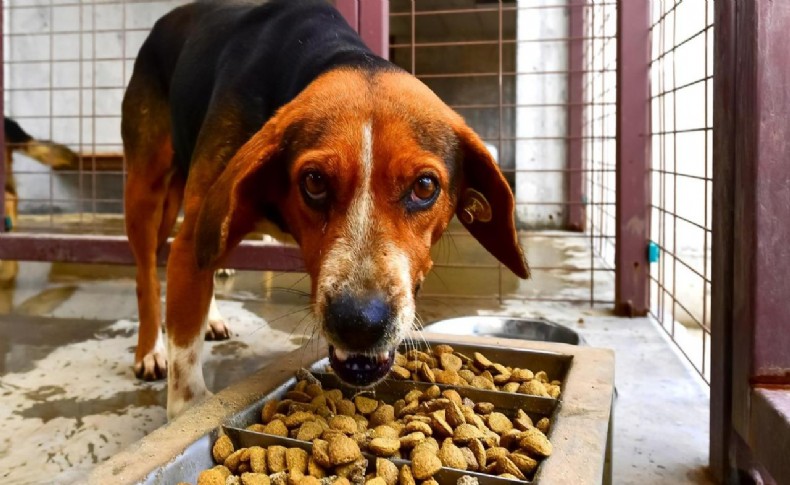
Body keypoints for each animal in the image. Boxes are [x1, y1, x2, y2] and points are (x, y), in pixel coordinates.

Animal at [124, 0, 532, 416]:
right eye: (315, 181)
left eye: (425, 187)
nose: (359, 323)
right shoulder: (192, 240)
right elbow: (186, 376)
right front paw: (188, 406)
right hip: (147, 193)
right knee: (145, 274)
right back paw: (149, 352)